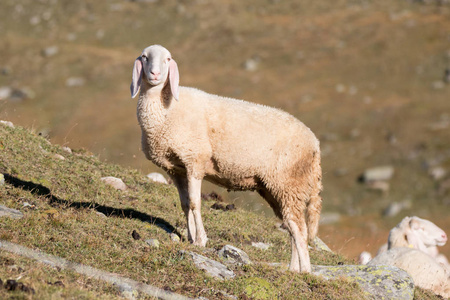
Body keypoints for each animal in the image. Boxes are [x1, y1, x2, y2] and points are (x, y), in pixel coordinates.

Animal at [130, 45, 324, 274]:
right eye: (145, 57)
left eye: (168, 59)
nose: (154, 74)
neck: (166, 108)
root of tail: (315, 143)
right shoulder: (176, 169)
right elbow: (185, 204)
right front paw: (190, 237)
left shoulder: (195, 160)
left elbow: (195, 203)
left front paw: (200, 240)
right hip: (278, 189)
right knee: (292, 225)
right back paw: (293, 269)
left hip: (290, 183)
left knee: (300, 229)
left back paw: (306, 271)